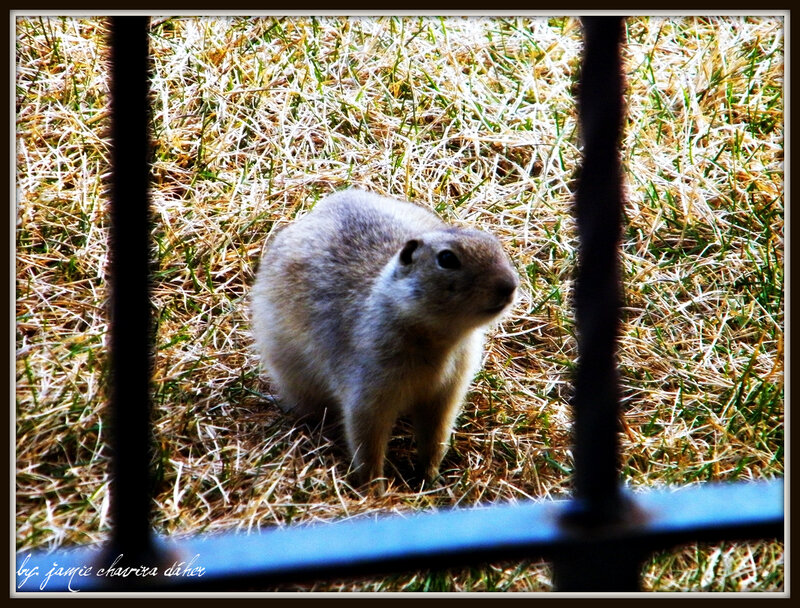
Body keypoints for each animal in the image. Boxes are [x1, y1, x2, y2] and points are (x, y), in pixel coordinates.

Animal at [250, 188, 518, 491]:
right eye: (447, 259)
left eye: (494, 244)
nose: (509, 286)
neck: (439, 340)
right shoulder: (368, 392)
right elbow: (368, 442)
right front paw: (374, 490)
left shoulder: (447, 393)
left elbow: (435, 437)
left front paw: (429, 478)